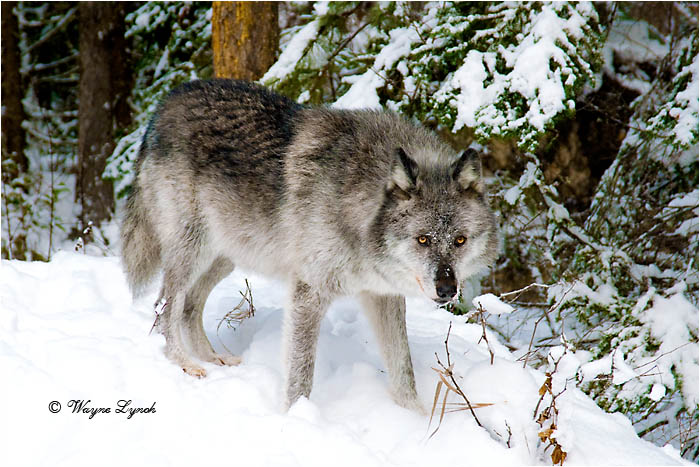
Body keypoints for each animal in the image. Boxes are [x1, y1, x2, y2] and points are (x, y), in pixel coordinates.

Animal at [121, 79, 498, 411]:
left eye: (459, 240)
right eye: (423, 239)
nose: (447, 288)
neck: (356, 205)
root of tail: (167, 102)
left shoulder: (382, 295)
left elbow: (403, 368)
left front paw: (416, 418)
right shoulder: (309, 293)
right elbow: (301, 374)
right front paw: (295, 418)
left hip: (227, 256)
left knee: (188, 308)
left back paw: (215, 358)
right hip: (192, 249)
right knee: (164, 307)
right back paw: (184, 363)